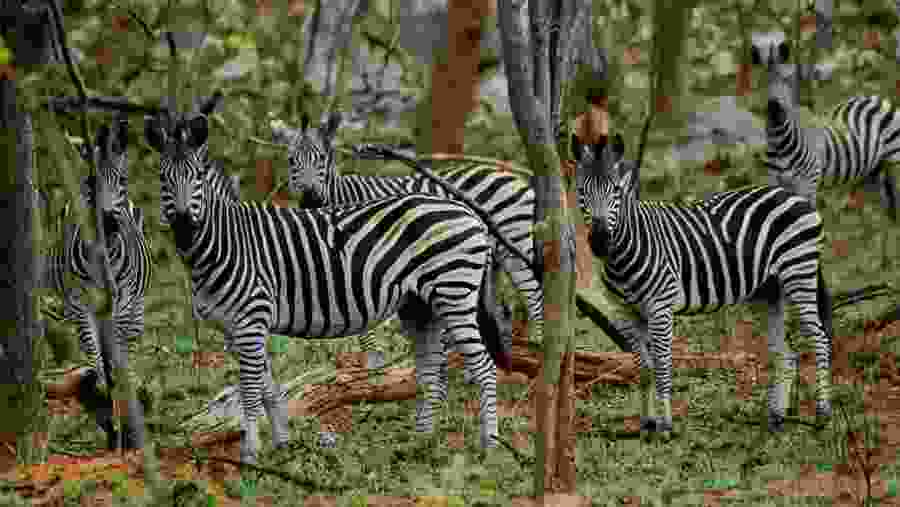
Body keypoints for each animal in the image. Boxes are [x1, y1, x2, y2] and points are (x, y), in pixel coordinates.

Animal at [39, 116, 152, 449]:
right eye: (90, 183)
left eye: (123, 180)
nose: (109, 223)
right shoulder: (79, 303)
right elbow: (95, 354)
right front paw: (108, 411)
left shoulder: (125, 301)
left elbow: (119, 355)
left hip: (134, 306)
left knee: (128, 347)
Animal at [145, 109, 510, 464]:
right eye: (162, 179)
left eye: (197, 178)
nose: (182, 226)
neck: (224, 242)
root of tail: (468, 211)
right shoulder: (238, 328)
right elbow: (267, 388)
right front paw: (282, 443)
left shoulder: (251, 319)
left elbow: (249, 391)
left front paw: (250, 454)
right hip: (419, 306)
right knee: (432, 372)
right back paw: (422, 443)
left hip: (454, 294)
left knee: (484, 366)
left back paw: (489, 445)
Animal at [271, 113, 540, 370]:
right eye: (291, 161)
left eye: (322, 159)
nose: (310, 198)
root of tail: (513, 177)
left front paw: (373, 362)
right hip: (488, 260)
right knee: (499, 309)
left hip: (515, 244)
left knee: (533, 292)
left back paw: (537, 341)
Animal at [575, 133, 833, 434]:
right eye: (581, 192)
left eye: (615, 191)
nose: (599, 241)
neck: (626, 250)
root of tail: (793, 195)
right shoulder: (626, 312)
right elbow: (644, 369)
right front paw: (647, 423)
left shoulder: (660, 308)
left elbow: (662, 367)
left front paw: (665, 426)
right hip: (768, 292)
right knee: (786, 355)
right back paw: (776, 418)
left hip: (799, 274)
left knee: (820, 339)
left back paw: (822, 414)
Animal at [765, 95, 899, 266]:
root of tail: (872, 98)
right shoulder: (778, 184)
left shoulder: (808, 183)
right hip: (871, 170)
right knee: (880, 204)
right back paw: (878, 254)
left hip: (892, 159)